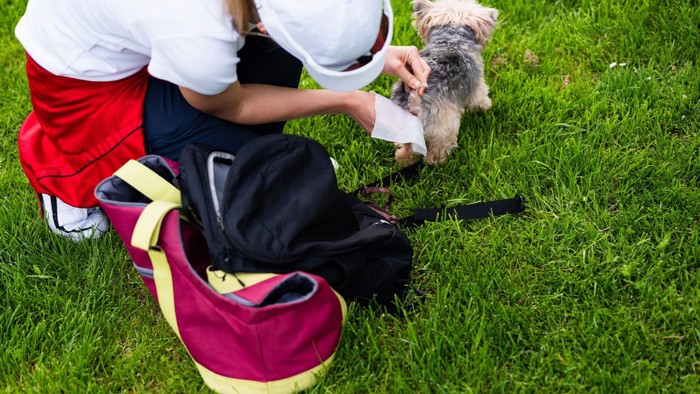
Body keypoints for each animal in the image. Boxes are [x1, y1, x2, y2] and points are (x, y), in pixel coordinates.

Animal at [394, 0, 498, 165]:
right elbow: (480, 99)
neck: (452, 40)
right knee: (437, 151)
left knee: (407, 150)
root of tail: (414, 99)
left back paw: (404, 159)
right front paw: (486, 108)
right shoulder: (477, 86)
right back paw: (440, 162)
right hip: (443, 127)